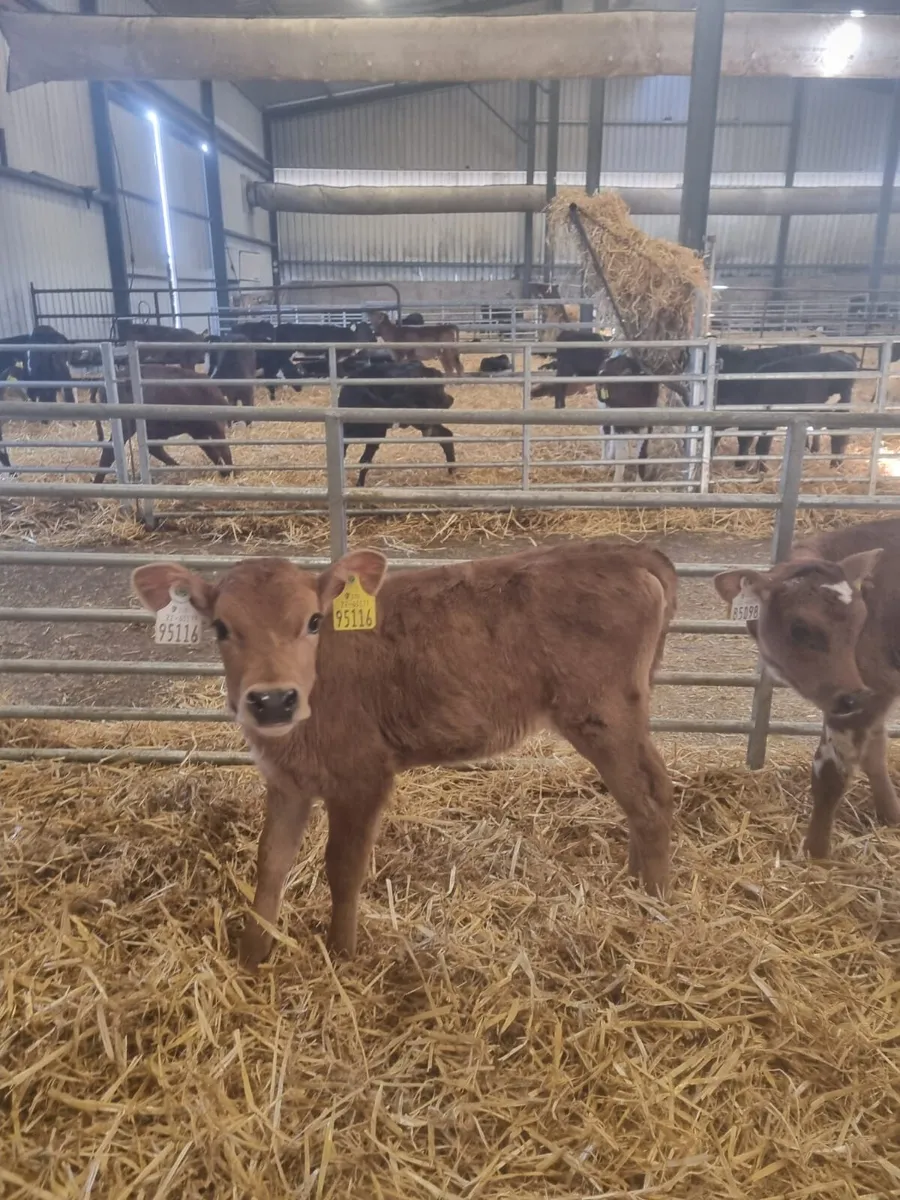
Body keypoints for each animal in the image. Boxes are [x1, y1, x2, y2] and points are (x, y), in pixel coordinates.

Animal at [92, 365, 233, 483]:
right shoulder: (213, 430)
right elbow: (223, 450)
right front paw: (230, 471)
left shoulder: (199, 432)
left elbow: (212, 451)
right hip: (127, 425)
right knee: (109, 452)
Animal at [131, 539, 677, 967]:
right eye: (222, 627)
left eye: (313, 621)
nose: (272, 701)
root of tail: (626, 551)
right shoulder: (287, 780)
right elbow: (271, 862)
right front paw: (251, 956)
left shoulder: (363, 776)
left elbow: (342, 867)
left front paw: (342, 956)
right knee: (647, 793)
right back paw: (631, 887)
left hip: (601, 714)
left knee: (649, 797)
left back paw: (649, 908)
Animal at [714, 516, 900, 860]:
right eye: (799, 628)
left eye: (860, 620)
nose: (853, 696)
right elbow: (874, 754)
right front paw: (892, 816)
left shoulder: (870, 690)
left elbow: (831, 772)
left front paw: (816, 854)